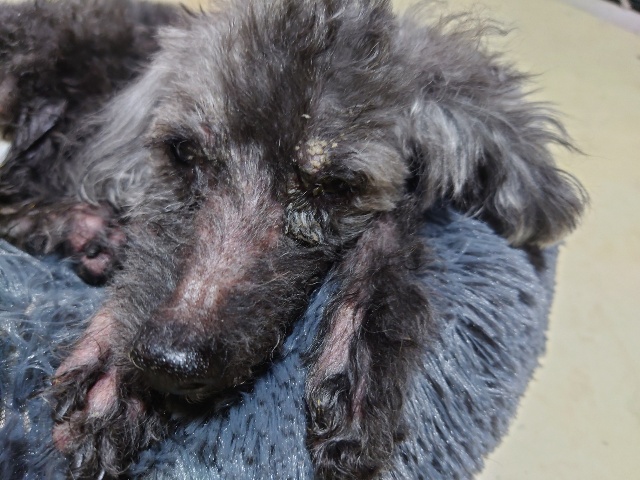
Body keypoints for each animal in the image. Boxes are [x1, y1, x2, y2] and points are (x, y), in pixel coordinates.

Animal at [0, 0, 587, 478]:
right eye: (183, 153)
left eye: (335, 186)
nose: (170, 362)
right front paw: (115, 376)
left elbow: (391, 222)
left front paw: (354, 357)